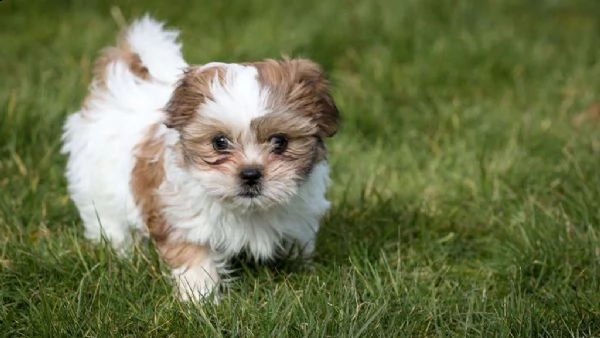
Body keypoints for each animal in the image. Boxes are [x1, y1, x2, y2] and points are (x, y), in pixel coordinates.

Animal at [63, 15, 342, 302]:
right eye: (219, 142)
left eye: (280, 141)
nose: (250, 173)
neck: (247, 210)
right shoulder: (183, 217)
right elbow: (195, 256)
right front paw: (200, 299)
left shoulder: (300, 216)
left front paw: (300, 271)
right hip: (97, 190)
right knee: (108, 223)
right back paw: (120, 253)